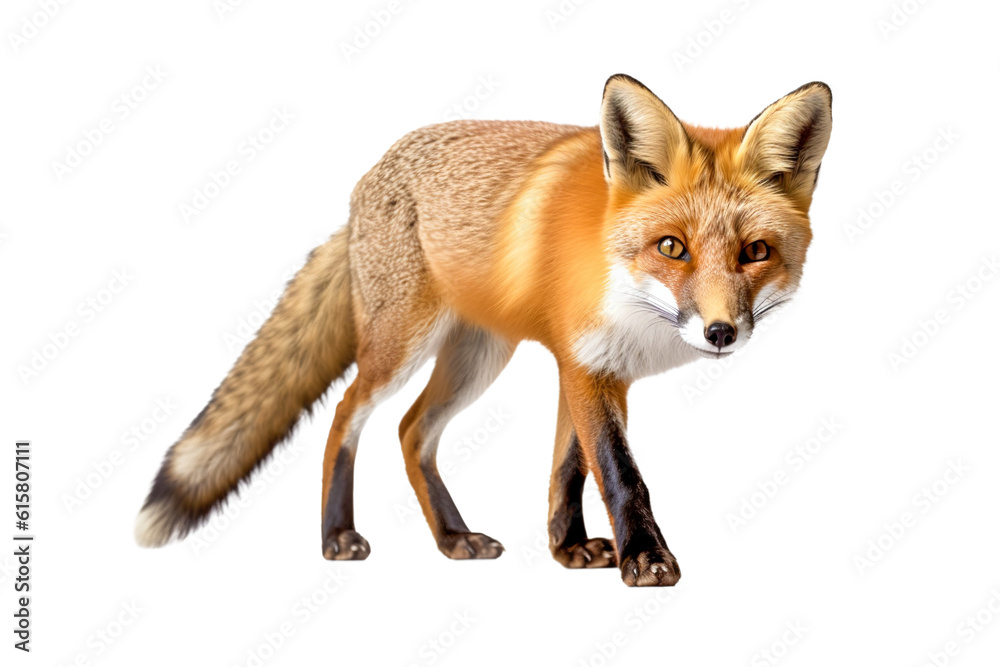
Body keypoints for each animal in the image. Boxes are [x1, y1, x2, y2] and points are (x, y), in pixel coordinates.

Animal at [136, 74, 832, 587]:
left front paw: (568, 550)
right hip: (400, 349)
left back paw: (452, 538)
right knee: (345, 414)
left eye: (755, 253)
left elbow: (568, 469)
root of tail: (364, 184)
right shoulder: (586, 367)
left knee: (411, 431)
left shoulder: (592, 369)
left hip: (478, 359)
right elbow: (619, 473)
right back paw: (337, 535)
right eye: (672, 248)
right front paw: (647, 559)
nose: (720, 332)